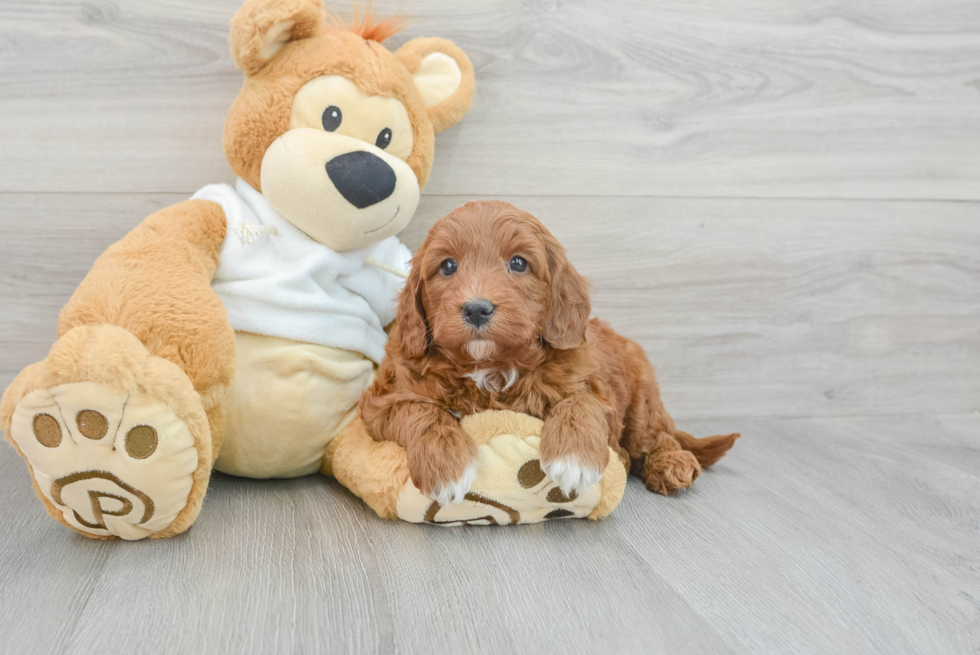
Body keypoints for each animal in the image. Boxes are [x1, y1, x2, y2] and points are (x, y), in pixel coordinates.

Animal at [360, 202, 736, 504]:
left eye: (518, 263)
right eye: (448, 266)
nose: (477, 309)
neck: (490, 366)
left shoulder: (593, 385)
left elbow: (580, 402)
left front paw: (574, 459)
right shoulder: (384, 400)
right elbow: (420, 412)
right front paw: (446, 467)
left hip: (642, 402)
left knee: (659, 437)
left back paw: (673, 464)